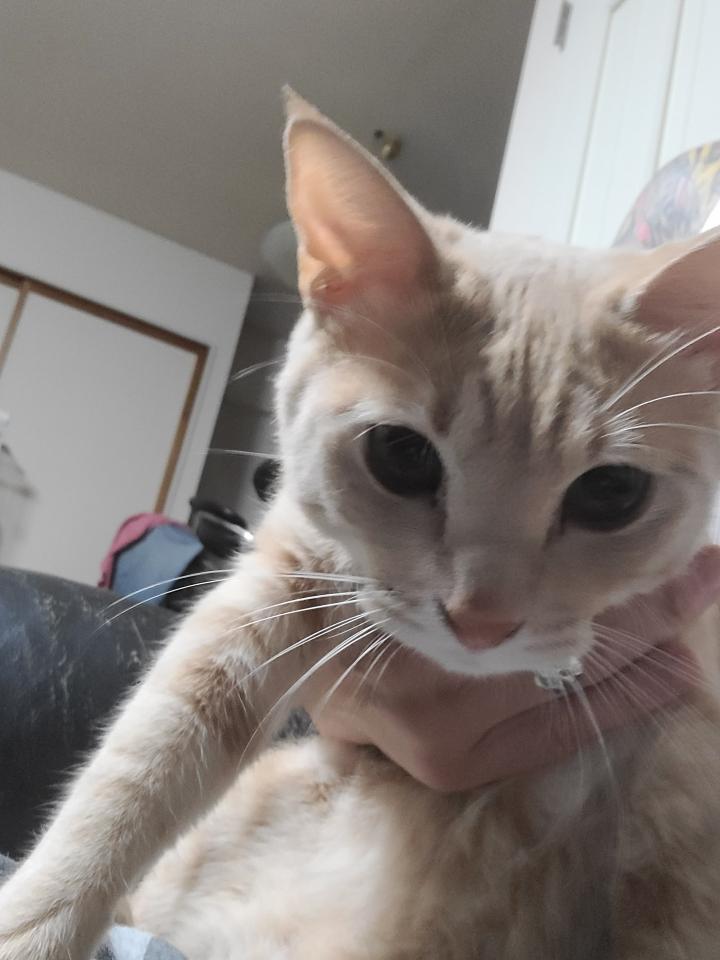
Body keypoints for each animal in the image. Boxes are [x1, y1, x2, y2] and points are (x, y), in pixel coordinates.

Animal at [2, 90, 720, 959]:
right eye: (401, 456)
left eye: (612, 492)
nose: (481, 624)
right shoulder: (270, 588)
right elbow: (136, 773)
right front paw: (34, 926)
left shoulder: (687, 784)